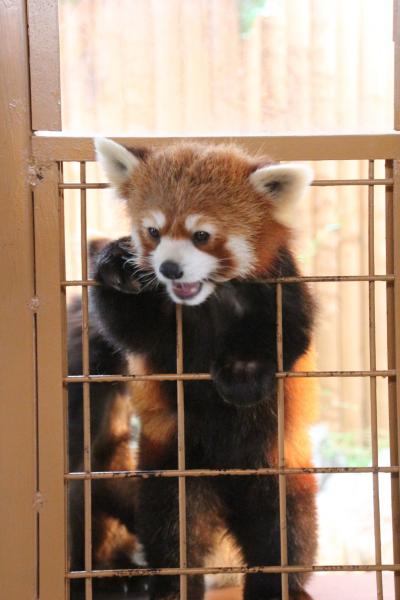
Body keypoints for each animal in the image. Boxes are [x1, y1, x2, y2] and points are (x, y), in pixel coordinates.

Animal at [69, 141, 318, 600]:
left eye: (201, 235)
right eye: (153, 231)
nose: (169, 268)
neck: (207, 300)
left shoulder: (280, 287)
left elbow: (290, 335)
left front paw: (242, 372)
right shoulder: (160, 327)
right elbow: (128, 327)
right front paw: (114, 263)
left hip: (277, 463)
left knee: (286, 529)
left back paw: (280, 585)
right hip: (175, 466)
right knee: (173, 528)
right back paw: (173, 583)